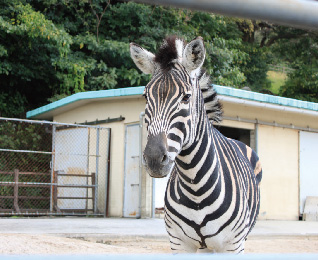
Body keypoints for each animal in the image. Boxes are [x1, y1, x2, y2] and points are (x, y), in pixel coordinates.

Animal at [129, 35, 260, 253]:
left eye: (186, 97)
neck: (195, 188)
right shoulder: (178, 243)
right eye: (146, 96)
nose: (154, 159)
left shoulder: (233, 245)